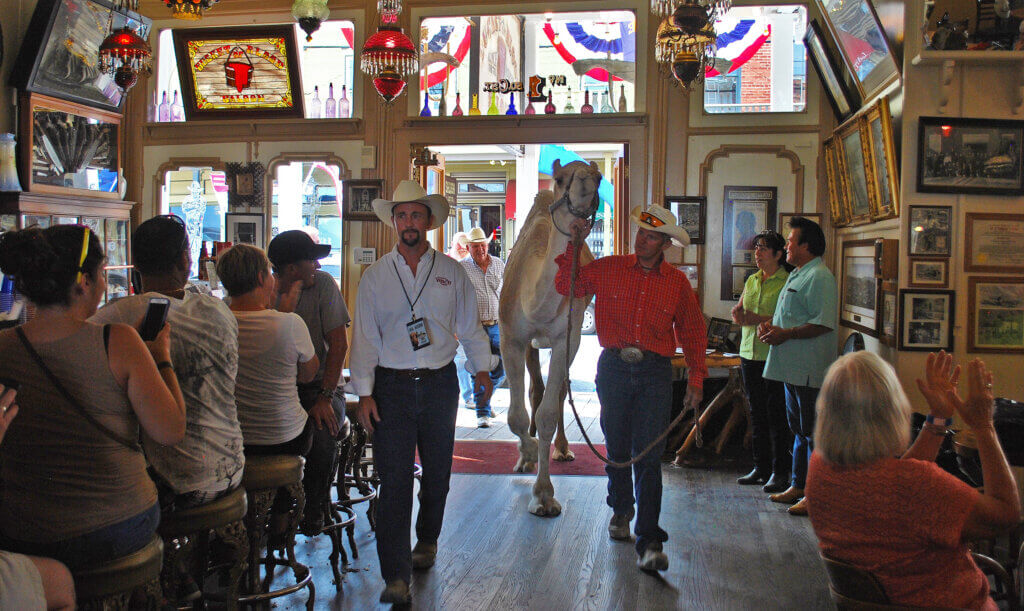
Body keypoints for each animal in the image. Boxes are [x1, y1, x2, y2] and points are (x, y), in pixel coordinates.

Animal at [495, 158, 598, 513]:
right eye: (560, 178)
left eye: (599, 177)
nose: (588, 180)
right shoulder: (511, 337)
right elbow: (515, 414)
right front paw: (526, 453)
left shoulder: (567, 338)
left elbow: (549, 412)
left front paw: (543, 494)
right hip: (531, 345)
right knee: (534, 390)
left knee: (558, 392)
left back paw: (563, 449)